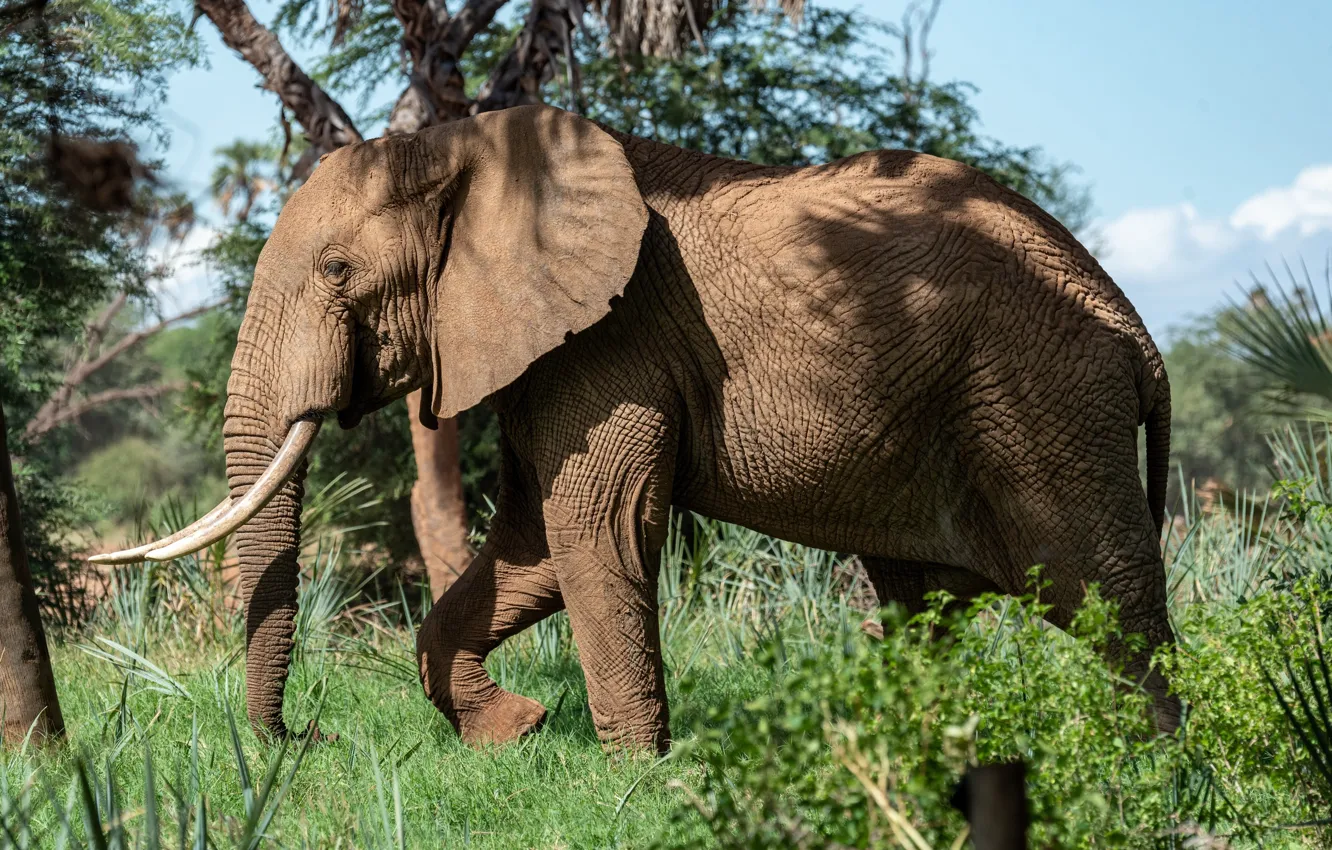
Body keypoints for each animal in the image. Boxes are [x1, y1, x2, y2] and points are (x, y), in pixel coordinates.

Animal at [93, 105, 1177, 751]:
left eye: (335, 272)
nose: (305, 739)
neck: (467, 144)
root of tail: (1136, 328)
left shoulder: (613, 341)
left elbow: (596, 528)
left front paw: (636, 778)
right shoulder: (550, 350)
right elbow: (532, 544)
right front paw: (515, 730)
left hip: (1044, 402)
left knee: (1111, 603)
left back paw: (1159, 773)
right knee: (926, 606)